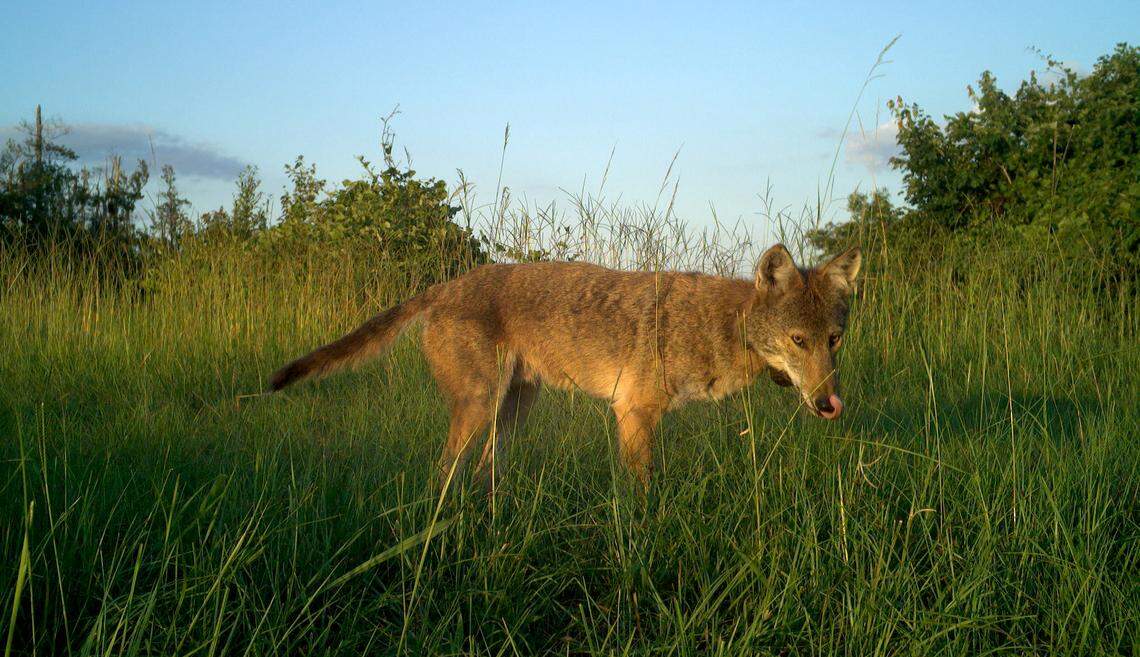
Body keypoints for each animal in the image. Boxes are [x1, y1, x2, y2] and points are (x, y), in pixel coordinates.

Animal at [270, 244, 861, 484]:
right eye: (797, 341)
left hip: (512, 411)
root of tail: (443, 287)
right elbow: (642, 494)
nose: (829, 403)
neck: (723, 326)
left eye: (834, 340)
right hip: (479, 408)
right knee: (442, 474)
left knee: (482, 473)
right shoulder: (633, 414)